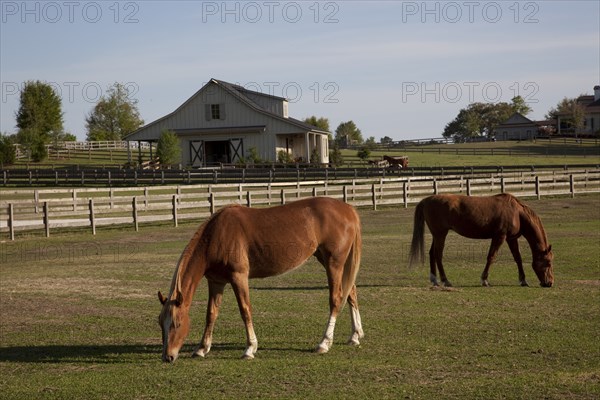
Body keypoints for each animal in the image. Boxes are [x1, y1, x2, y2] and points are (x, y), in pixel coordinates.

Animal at [157, 197, 364, 362]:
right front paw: (202, 348)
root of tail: (348, 209)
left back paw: (324, 343)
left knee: (336, 299)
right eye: (160, 323)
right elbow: (211, 314)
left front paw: (250, 348)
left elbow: (245, 310)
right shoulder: (216, 282)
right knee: (351, 293)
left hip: (334, 263)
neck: (217, 234)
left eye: (177, 323)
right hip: (331, 261)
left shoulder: (239, 277)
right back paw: (355, 335)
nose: (168, 357)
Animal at [408, 193, 552, 288]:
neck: (516, 213)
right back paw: (445, 280)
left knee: (432, 253)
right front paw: (484, 280)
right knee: (438, 255)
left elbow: (518, 258)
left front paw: (523, 280)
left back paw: (434, 280)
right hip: (440, 234)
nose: (550, 283)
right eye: (548, 263)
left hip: (437, 235)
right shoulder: (499, 237)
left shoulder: (511, 239)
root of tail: (426, 200)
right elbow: (491, 257)